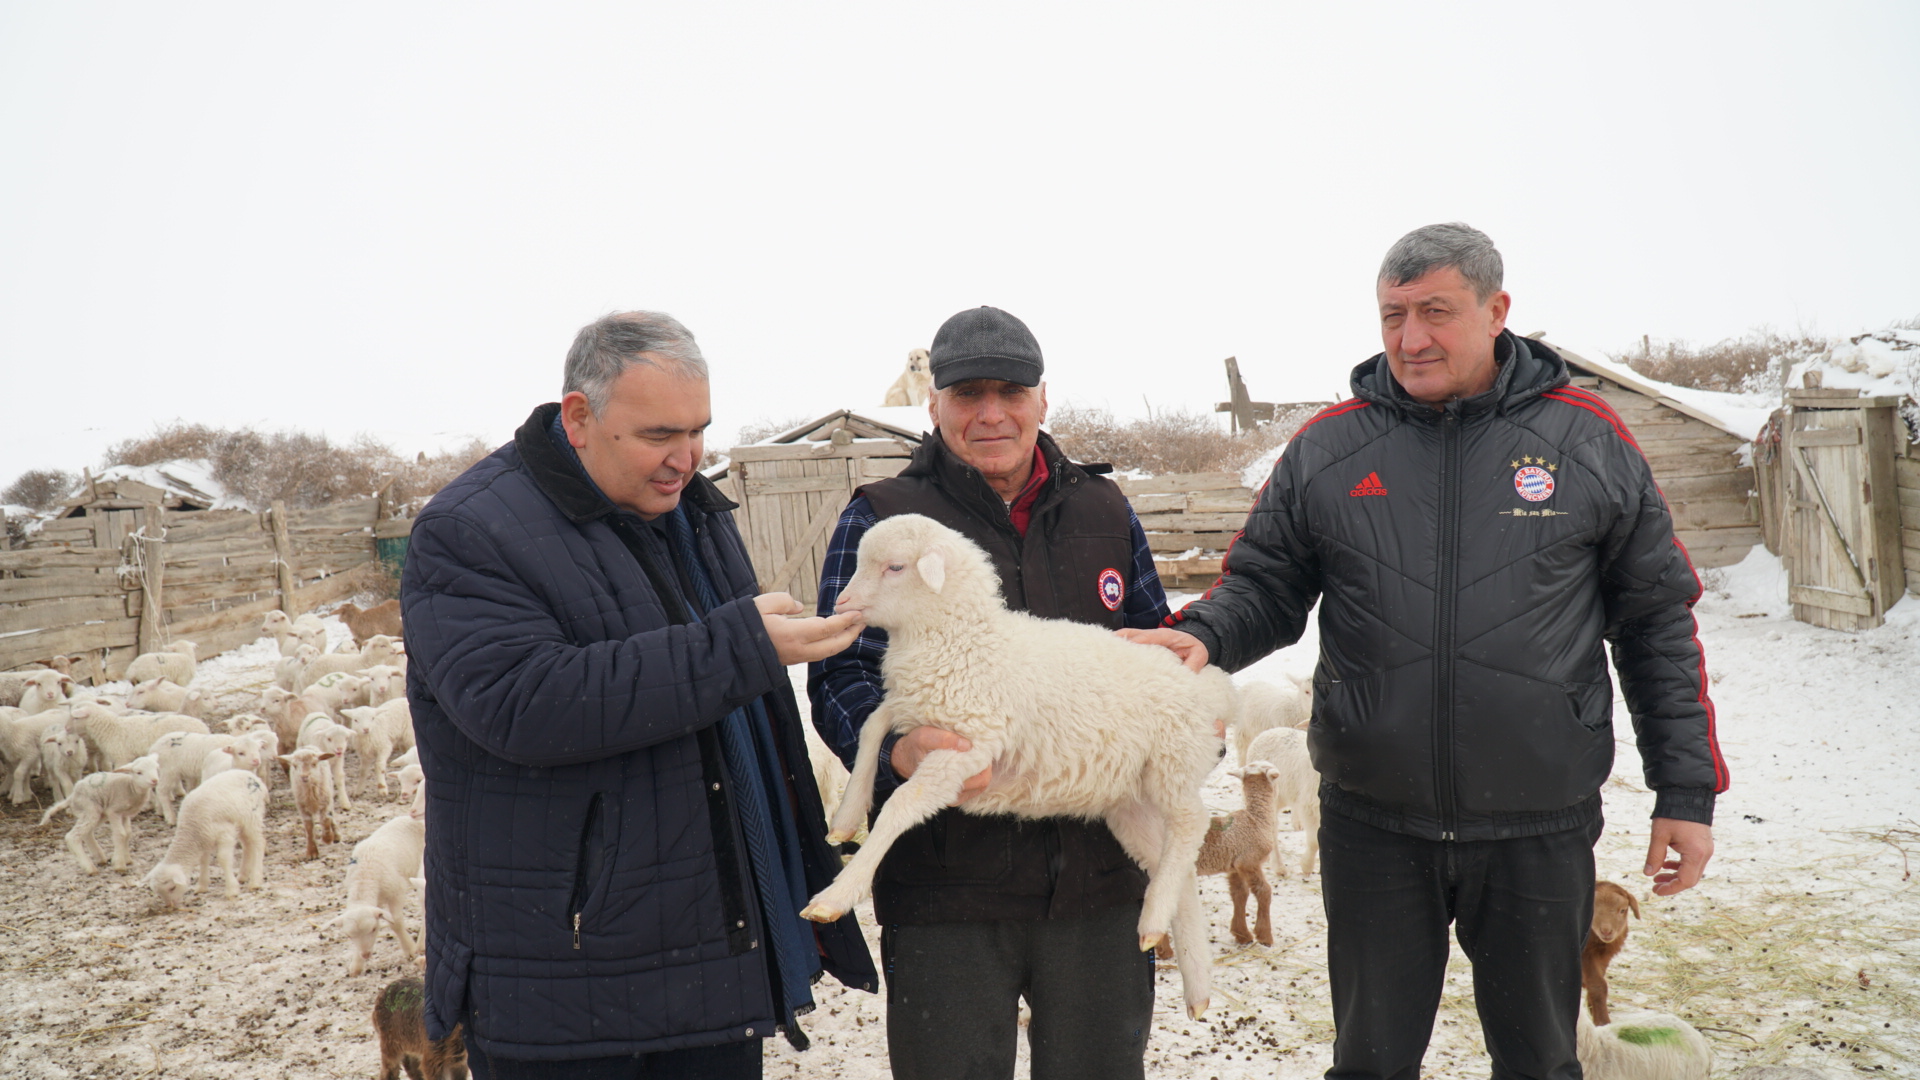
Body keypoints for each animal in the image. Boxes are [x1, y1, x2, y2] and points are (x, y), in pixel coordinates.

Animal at [336, 799, 430, 976]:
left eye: (374, 929)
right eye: (349, 936)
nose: (365, 955)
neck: (364, 878)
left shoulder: (396, 891)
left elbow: (396, 922)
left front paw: (410, 949)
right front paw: (356, 966)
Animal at [806, 511, 1228, 1014]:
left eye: (894, 567)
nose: (841, 604)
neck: (963, 643)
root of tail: (1206, 683)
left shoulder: (968, 744)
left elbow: (901, 806)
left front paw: (835, 895)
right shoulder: (914, 711)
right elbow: (871, 728)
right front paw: (845, 818)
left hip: (1172, 759)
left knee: (1191, 823)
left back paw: (1154, 918)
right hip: (1130, 803)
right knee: (1179, 868)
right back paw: (1190, 975)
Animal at [1244, 722, 1320, 876]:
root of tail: (1267, 732)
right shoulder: (1309, 806)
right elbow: (1314, 841)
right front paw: (1306, 866)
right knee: (1271, 828)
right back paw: (1278, 866)